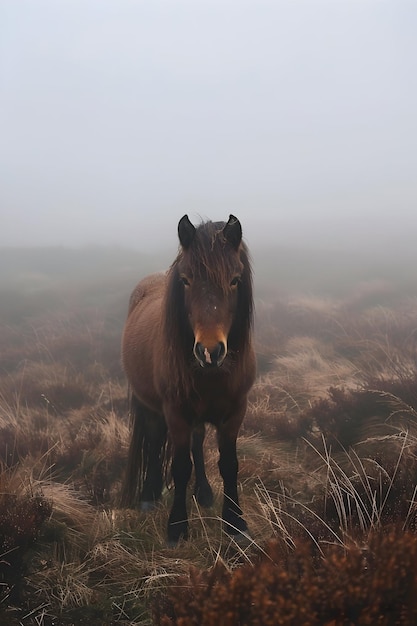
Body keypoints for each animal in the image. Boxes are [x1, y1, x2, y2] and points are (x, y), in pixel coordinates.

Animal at [120, 213, 255, 540]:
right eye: (185, 279)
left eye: (235, 279)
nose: (209, 351)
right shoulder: (176, 413)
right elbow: (180, 467)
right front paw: (177, 527)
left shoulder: (235, 412)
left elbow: (229, 464)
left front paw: (235, 522)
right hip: (151, 407)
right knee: (155, 440)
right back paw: (149, 495)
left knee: (196, 442)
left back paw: (204, 493)